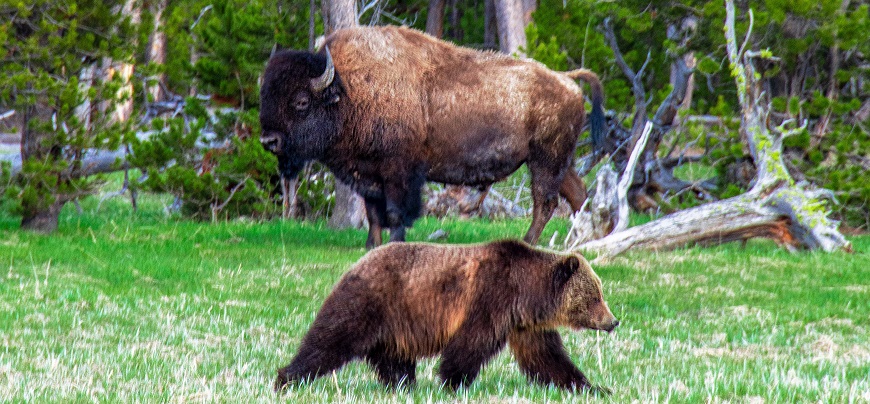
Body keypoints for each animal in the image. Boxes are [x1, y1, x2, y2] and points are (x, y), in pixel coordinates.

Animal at [259, 25, 603, 249]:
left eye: (301, 101)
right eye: (265, 94)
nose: (268, 142)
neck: (350, 90)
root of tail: (566, 79)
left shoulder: (398, 171)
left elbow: (395, 211)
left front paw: (394, 244)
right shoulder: (367, 172)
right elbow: (373, 212)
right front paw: (371, 245)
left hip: (545, 159)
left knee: (545, 200)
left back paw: (529, 242)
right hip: (559, 161)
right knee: (577, 194)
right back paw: (585, 240)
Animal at [274, 239, 619, 393]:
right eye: (595, 296)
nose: (613, 321)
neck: (527, 292)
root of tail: (358, 262)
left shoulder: (525, 324)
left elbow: (547, 358)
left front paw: (592, 387)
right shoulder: (491, 297)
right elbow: (470, 343)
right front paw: (453, 382)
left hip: (396, 322)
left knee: (392, 357)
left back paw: (402, 385)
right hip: (371, 300)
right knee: (330, 339)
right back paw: (286, 378)